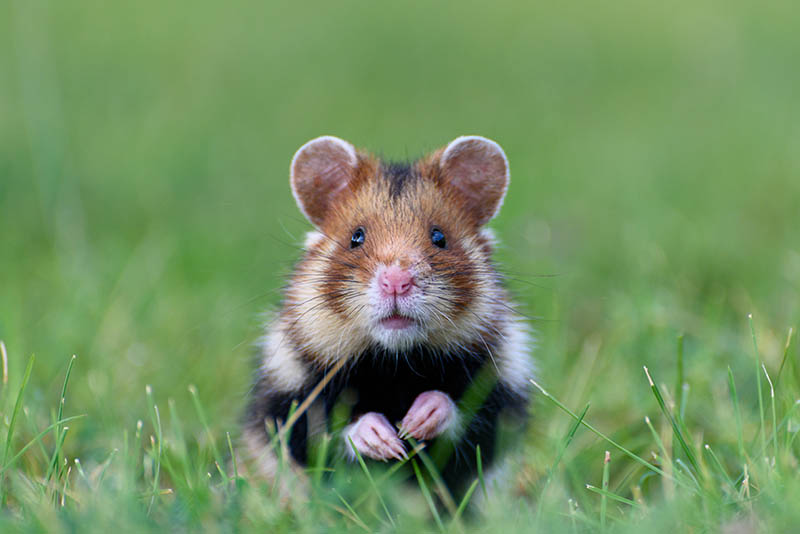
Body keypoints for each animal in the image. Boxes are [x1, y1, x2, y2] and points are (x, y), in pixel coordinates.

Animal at [242, 135, 534, 494]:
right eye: (356, 237)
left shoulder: (501, 387)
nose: (396, 281)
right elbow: (319, 436)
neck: (395, 363)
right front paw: (386, 441)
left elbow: (469, 418)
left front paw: (415, 422)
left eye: (439, 237)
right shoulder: (289, 396)